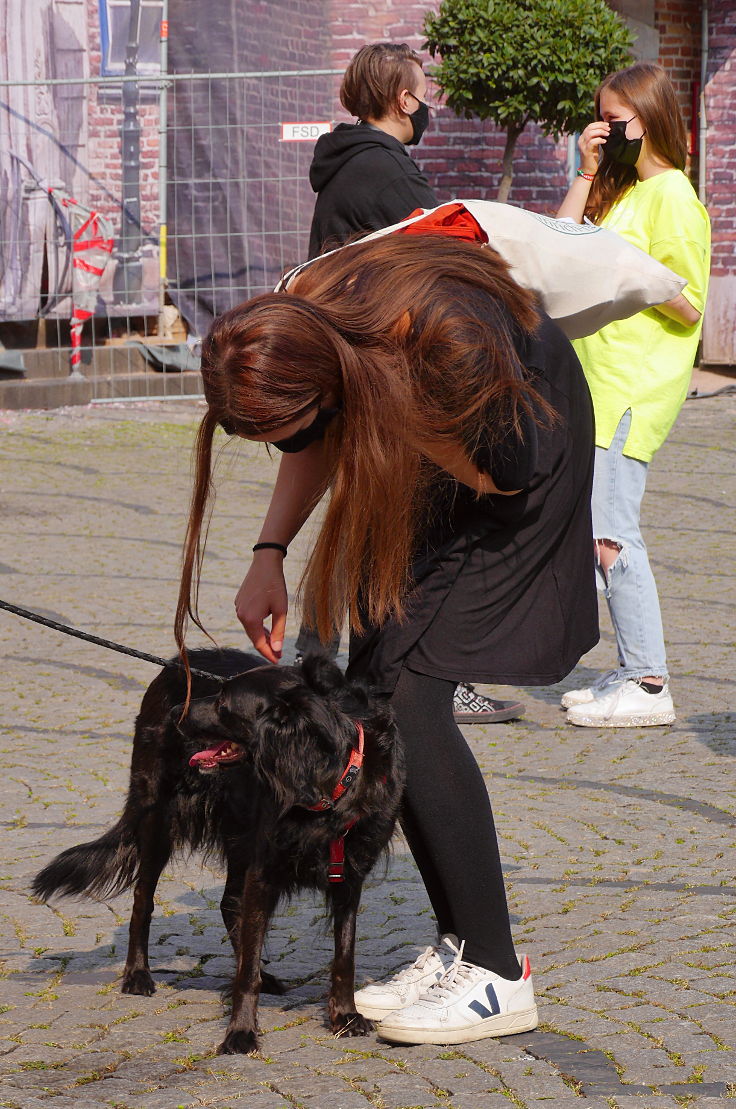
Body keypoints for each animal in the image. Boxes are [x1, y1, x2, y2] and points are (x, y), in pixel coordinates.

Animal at [31, 652, 405, 1051]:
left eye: (224, 705)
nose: (176, 713)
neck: (325, 780)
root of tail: (175, 662)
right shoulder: (264, 867)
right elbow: (246, 972)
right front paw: (240, 1032)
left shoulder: (349, 875)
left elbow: (344, 955)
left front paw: (345, 1016)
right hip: (159, 819)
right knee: (142, 900)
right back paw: (137, 974)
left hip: (238, 833)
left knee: (229, 904)